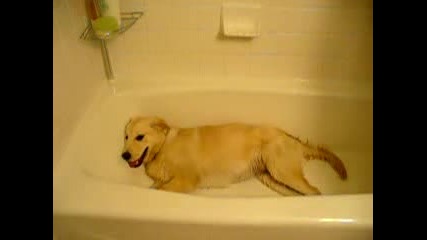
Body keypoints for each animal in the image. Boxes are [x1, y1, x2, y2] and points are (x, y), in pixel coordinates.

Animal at [120, 115, 348, 196]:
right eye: (126, 136)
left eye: (140, 137)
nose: (124, 155)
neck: (163, 147)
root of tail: (292, 138)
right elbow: (155, 186)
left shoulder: (186, 181)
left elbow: (163, 188)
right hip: (271, 178)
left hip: (281, 170)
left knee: (315, 192)